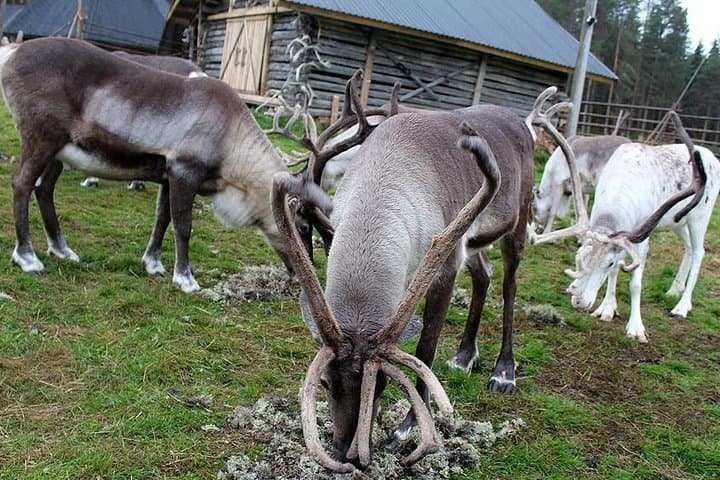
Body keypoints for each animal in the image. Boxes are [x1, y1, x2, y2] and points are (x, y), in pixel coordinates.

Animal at [1, 37, 382, 292]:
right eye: (303, 227)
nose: (307, 273)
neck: (232, 143)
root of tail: (12, 54)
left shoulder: (167, 176)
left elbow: (162, 220)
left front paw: (153, 264)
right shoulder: (185, 170)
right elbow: (183, 226)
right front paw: (185, 278)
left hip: (62, 151)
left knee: (44, 188)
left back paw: (62, 249)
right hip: (41, 137)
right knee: (21, 182)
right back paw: (28, 257)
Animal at [271, 82, 586, 471]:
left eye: (382, 385)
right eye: (327, 384)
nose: (347, 454)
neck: (386, 176)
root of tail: (520, 121)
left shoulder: (445, 265)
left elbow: (425, 349)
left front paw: (406, 428)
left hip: (518, 219)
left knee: (509, 285)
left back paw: (503, 371)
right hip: (473, 241)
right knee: (484, 275)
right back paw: (464, 357)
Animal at [565, 112, 717, 343]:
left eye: (607, 263)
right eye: (577, 257)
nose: (579, 301)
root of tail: (714, 158)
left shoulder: (642, 237)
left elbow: (634, 283)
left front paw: (636, 328)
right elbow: (616, 274)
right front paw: (606, 309)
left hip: (700, 215)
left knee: (700, 251)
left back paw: (681, 307)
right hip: (677, 220)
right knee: (689, 249)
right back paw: (674, 289)